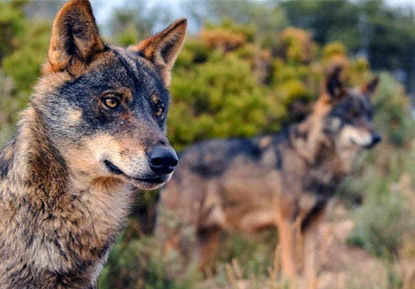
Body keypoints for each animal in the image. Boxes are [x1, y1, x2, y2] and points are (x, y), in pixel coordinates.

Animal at [158, 66, 382, 284]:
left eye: (369, 115)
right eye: (352, 114)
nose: (377, 137)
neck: (311, 159)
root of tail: (178, 158)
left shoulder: (313, 223)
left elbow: (311, 270)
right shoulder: (287, 220)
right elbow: (291, 267)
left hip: (205, 244)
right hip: (180, 234)